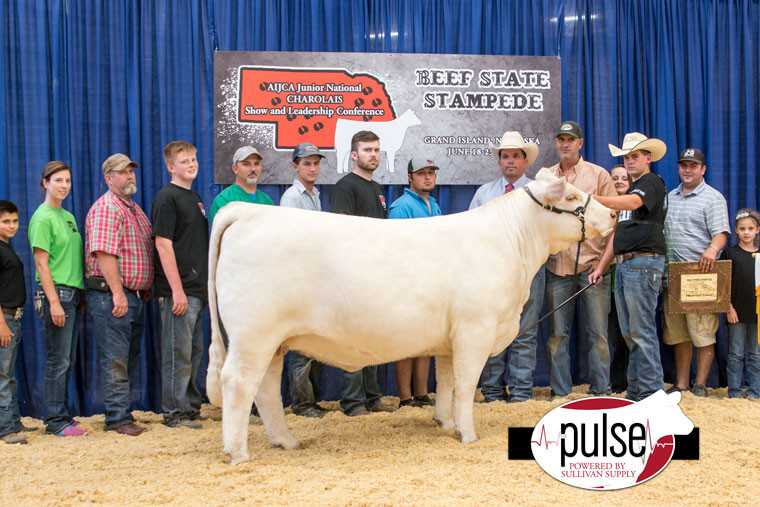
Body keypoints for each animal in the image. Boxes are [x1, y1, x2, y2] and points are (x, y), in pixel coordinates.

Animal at [206, 168, 617, 464]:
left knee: (265, 389)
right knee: (239, 384)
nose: (613, 212)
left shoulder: (451, 339)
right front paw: (468, 434)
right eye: (571, 196)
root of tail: (248, 210)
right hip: (254, 335)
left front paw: (445, 423)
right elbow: (466, 383)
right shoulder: (475, 329)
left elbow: (448, 382)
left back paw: (286, 441)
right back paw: (238, 453)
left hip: (272, 342)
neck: (511, 243)